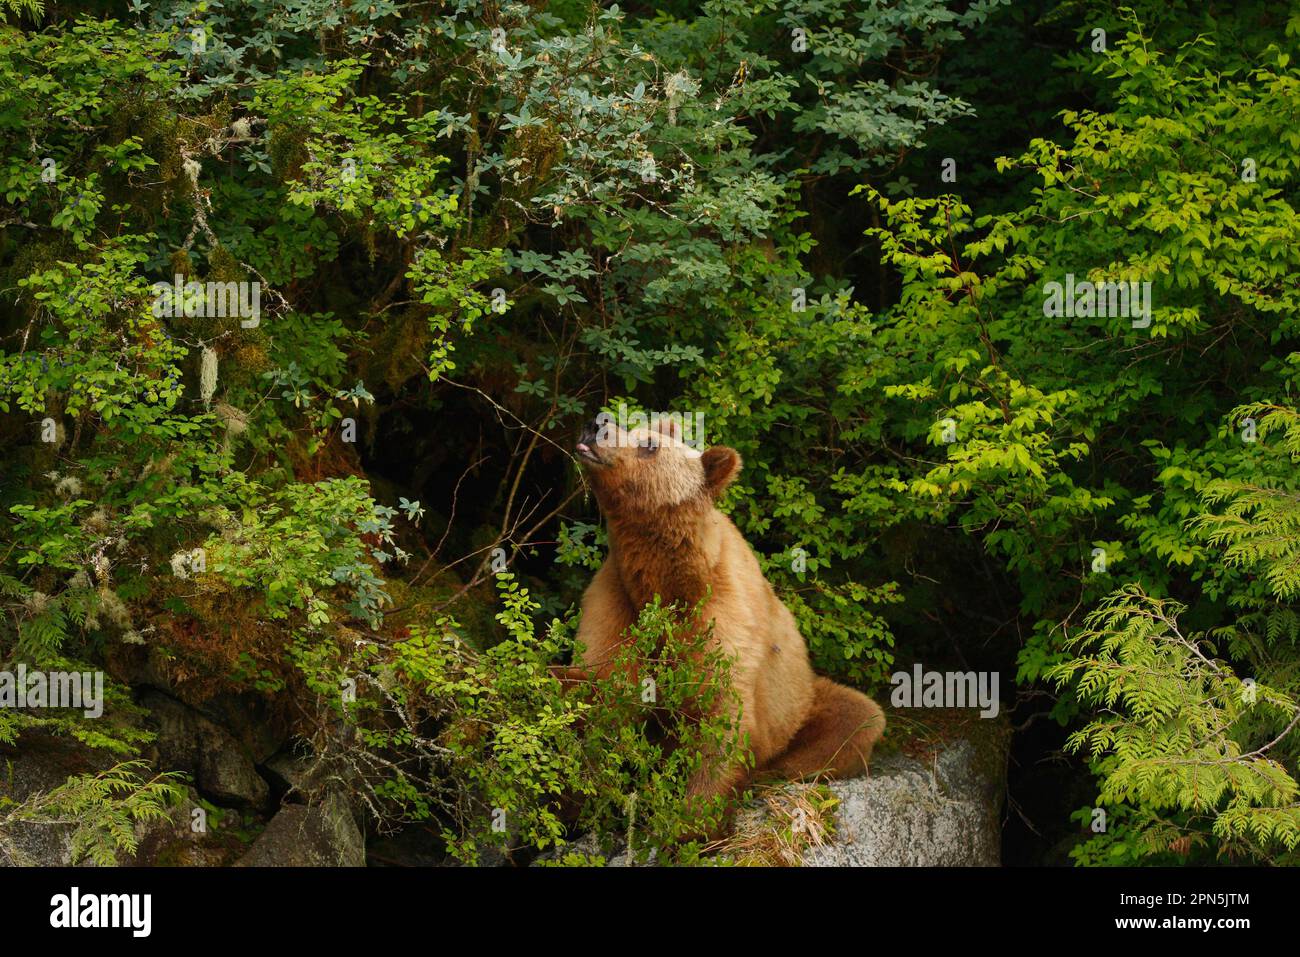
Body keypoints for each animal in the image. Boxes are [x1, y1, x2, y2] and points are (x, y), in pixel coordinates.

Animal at [569, 416, 883, 811]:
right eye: (632, 427)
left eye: (649, 444)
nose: (595, 428)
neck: (665, 583)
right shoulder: (615, 602)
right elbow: (602, 686)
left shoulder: (722, 619)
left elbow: (723, 719)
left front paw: (693, 816)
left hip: (802, 704)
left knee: (857, 716)